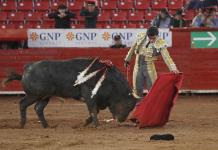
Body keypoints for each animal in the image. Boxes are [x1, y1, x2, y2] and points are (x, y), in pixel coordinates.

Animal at [3, 57, 136, 127]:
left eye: (131, 108)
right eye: (127, 105)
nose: (121, 119)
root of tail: (27, 67)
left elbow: (94, 110)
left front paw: (86, 122)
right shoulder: (89, 95)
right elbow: (93, 109)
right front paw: (96, 124)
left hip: (45, 96)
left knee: (38, 108)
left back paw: (46, 125)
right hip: (34, 95)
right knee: (22, 104)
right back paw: (22, 124)